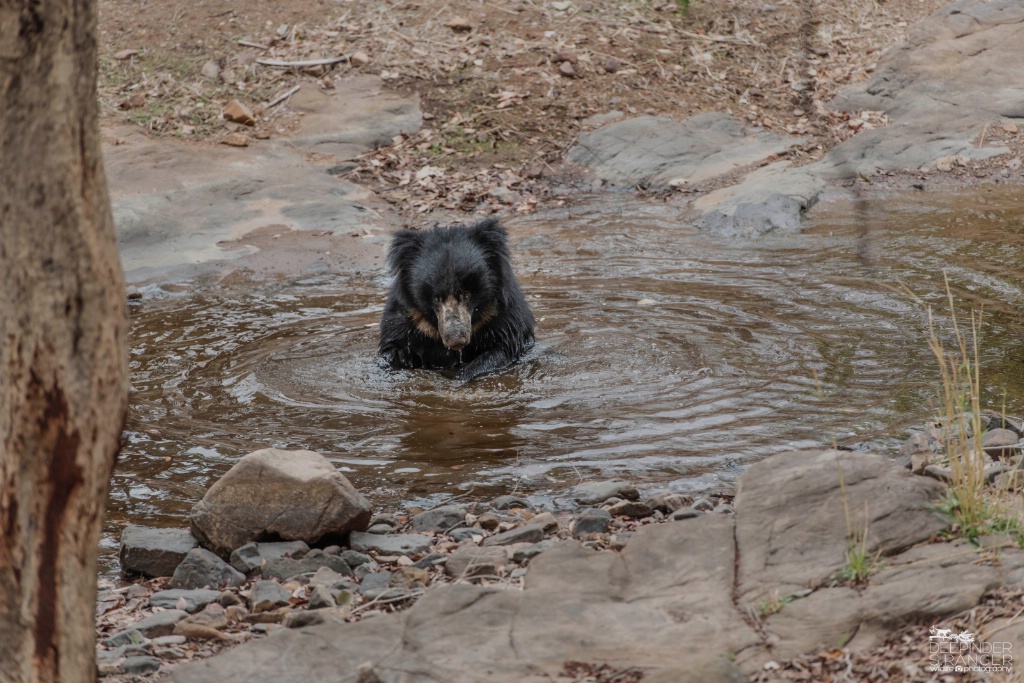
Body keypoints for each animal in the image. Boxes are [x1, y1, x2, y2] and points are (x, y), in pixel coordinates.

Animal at [378, 219, 536, 382]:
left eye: (466, 295)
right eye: (436, 298)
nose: (456, 340)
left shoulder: (502, 313)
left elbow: (504, 346)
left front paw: (463, 374)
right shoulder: (409, 318)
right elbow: (394, 346)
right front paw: (402, 358)